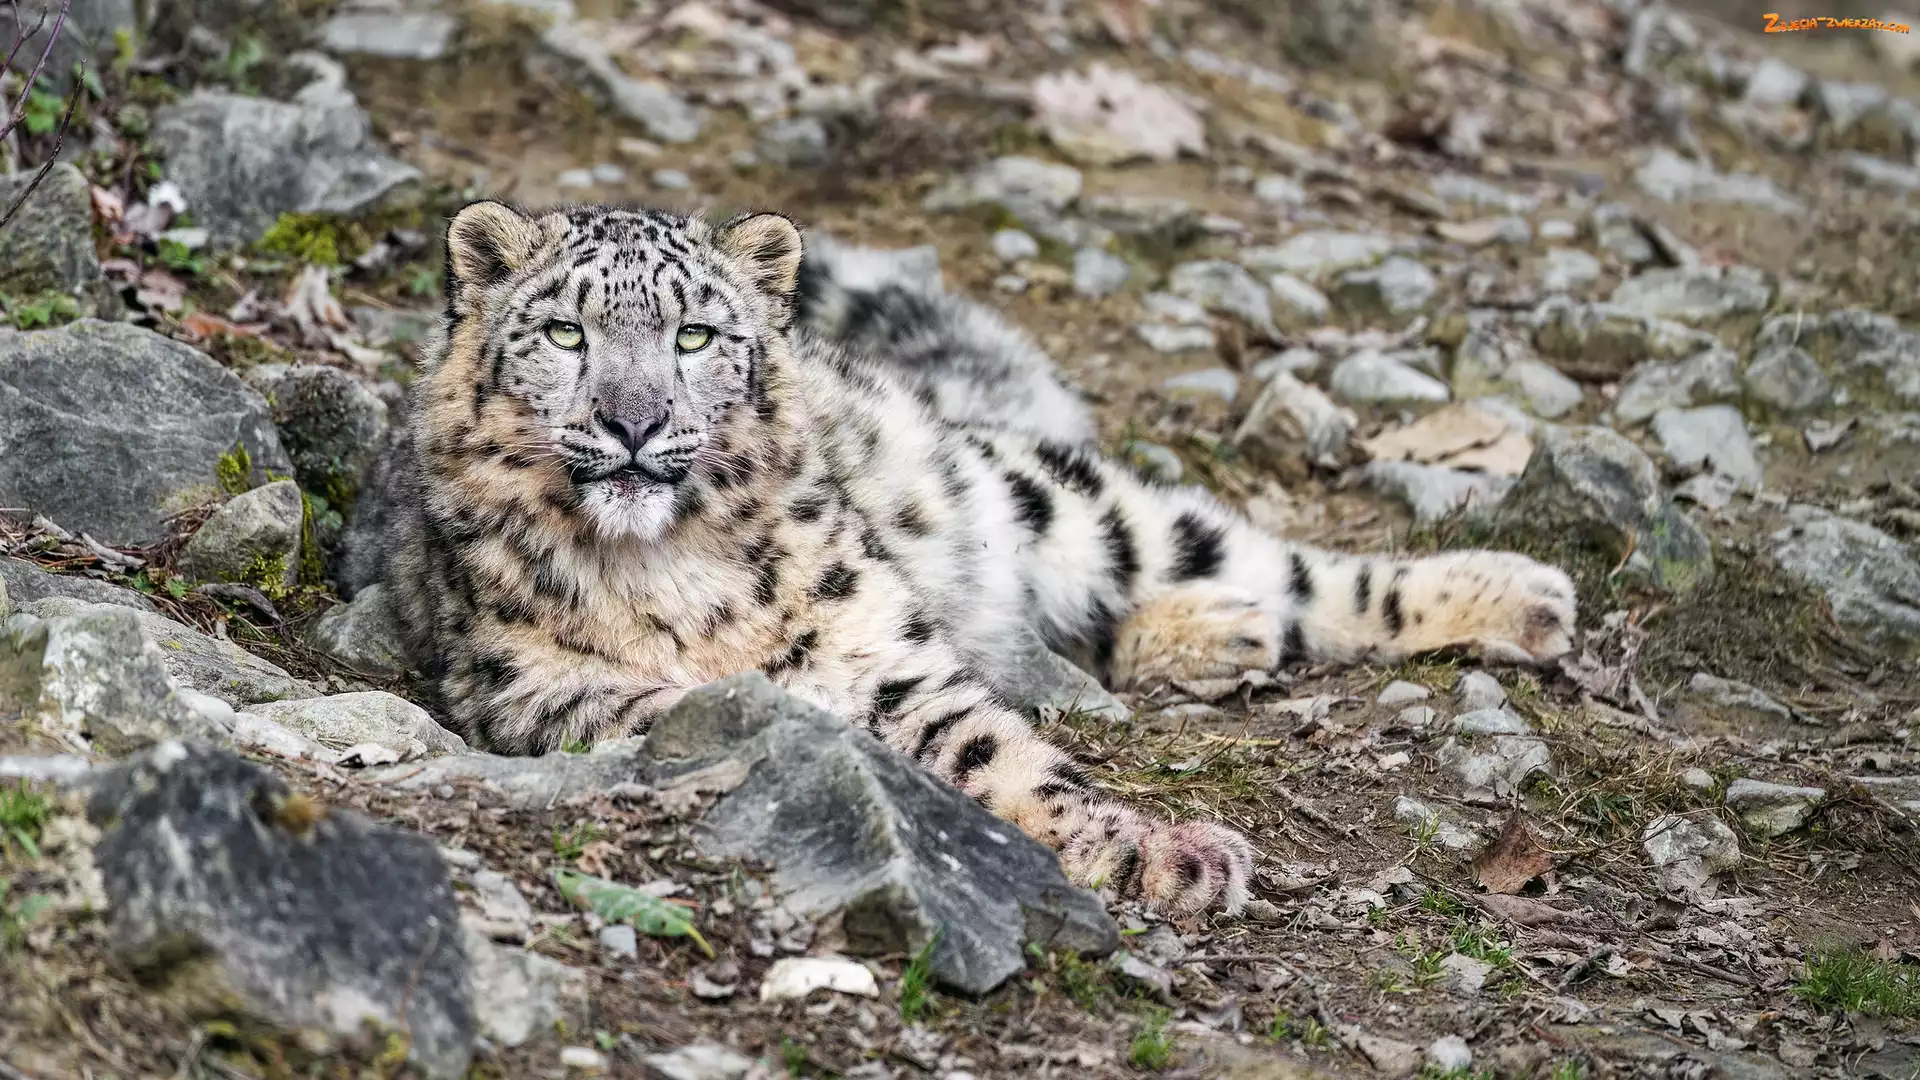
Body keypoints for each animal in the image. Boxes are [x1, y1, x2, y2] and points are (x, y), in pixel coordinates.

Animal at [339, 199, 1579, 917]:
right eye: (566, 332)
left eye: (696, 335)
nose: (637, 423)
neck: (669, 574)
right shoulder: (527, 690)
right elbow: (663, 707)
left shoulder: (882, 648)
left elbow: (1007, 755)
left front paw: (1161, 853)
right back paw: (1226, 634)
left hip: (1046, 501)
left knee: (1278, 564)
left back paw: (1515, 594)